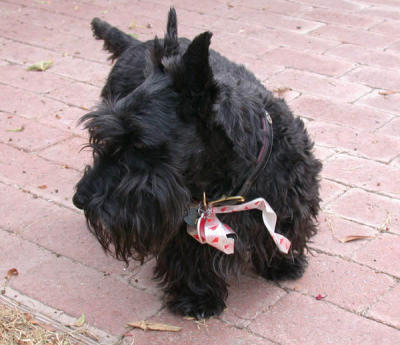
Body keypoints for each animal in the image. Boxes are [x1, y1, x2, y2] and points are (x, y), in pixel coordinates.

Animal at [72, 8, 322, 318]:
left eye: (140, 144)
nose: (80, 199)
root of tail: (136, 44)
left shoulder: (289, 197)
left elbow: (284, 230)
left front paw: (282, 263)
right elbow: (191, 257)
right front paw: (197, 298)